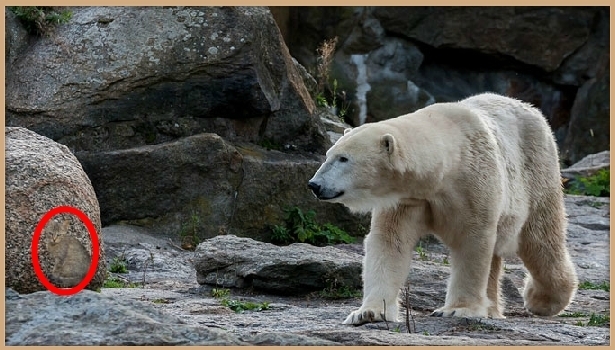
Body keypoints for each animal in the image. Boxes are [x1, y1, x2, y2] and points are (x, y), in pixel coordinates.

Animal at [310, 91, 580, 324]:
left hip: (537, 171)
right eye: (329, 154)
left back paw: (540, 299)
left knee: (541, 239)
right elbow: (388, 242)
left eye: (344, 159)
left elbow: (472, 241)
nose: (314, 185)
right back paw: (492, 309)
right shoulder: (407, 199)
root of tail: (532, 109)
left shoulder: (473, 185)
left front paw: (457, 310)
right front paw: (368, 313)